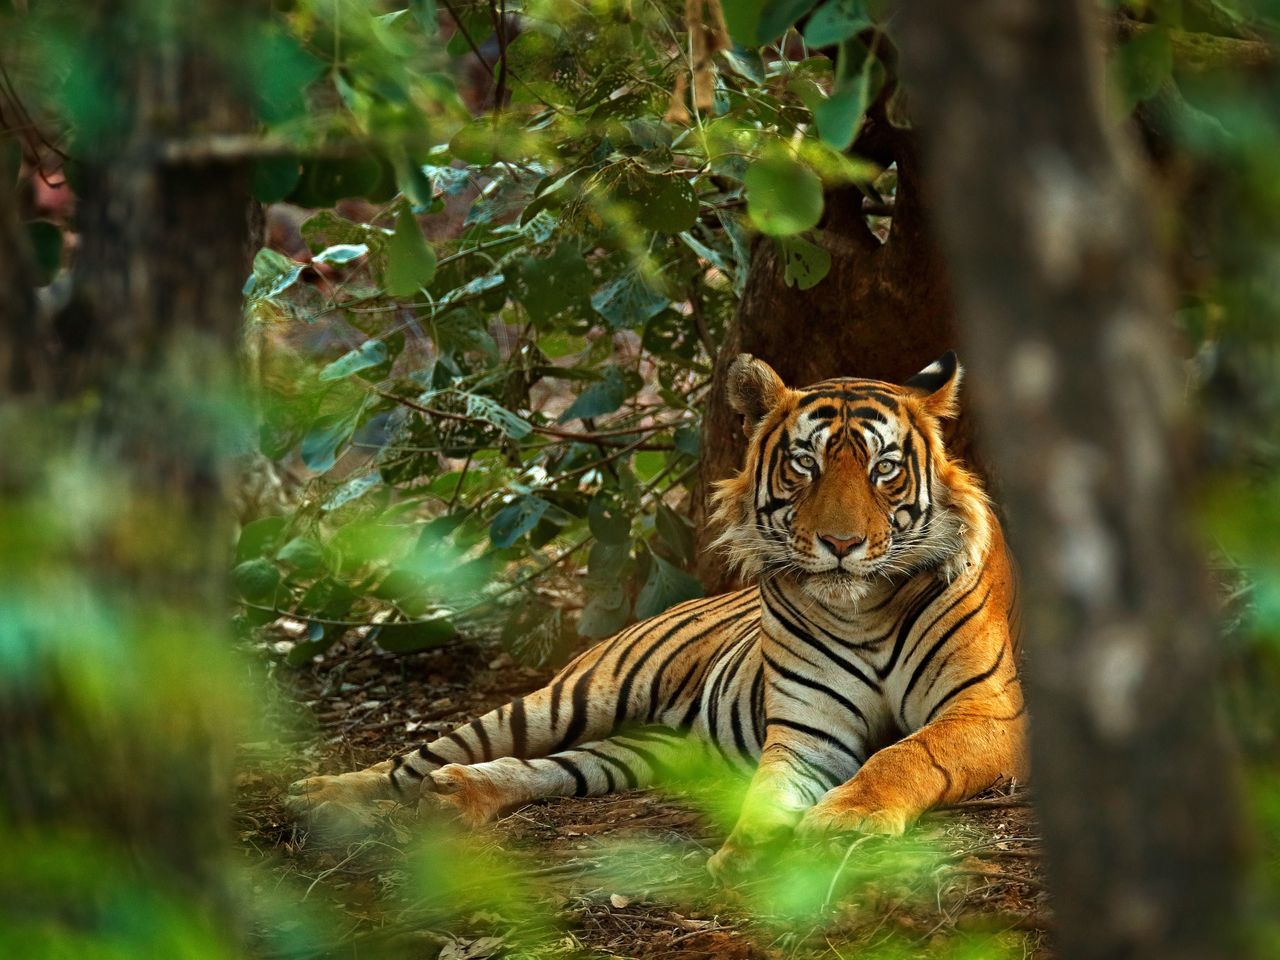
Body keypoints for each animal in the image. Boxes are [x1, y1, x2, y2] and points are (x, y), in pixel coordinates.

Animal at [285, 353, 1024, 880]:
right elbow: (770, 791)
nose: (839, 544)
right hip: (572, 698)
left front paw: (846, 820)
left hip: (645, 750)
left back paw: (456, 796)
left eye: (884, 470)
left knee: (549, 768)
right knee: (423, 755)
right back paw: (322, 793)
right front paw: (748, 853)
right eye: (804, 466)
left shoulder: (987, 712)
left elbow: (906, 753)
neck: (864, 610)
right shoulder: (807, 732)